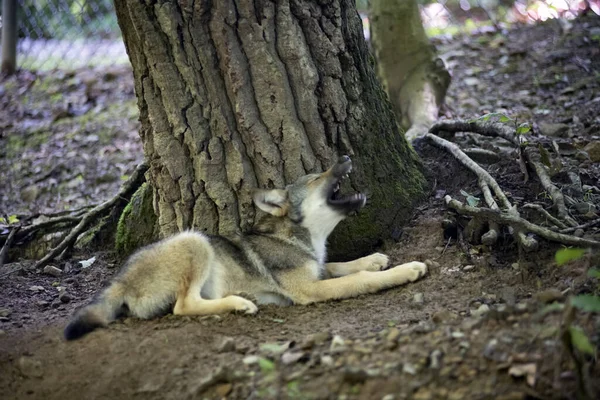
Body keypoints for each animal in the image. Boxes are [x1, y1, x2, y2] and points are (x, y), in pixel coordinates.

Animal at [65, 156, 426, 340]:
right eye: (314, 177)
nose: (347, 157)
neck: (302, 238)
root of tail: (119, 280)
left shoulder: (316, 268)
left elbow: (338, 264)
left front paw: (374, 259)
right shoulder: (310, 289)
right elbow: (358, 279)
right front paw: (405, 270)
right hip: (195, 241)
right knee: (184, 306)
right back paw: (240, 303)